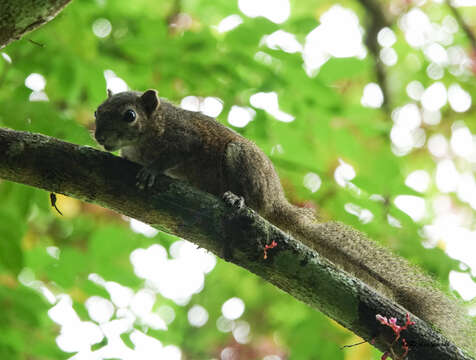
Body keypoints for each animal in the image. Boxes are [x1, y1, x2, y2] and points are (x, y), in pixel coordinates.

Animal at [95, 88, 474, 352]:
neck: (151, 129)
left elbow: (173, 155)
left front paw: (151, 170)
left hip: (242, 159)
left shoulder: (185, 138)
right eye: (98, 112)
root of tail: (277, 200)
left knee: (253, 201)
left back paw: (237, 199)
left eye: (129, 115)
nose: (98, 136)